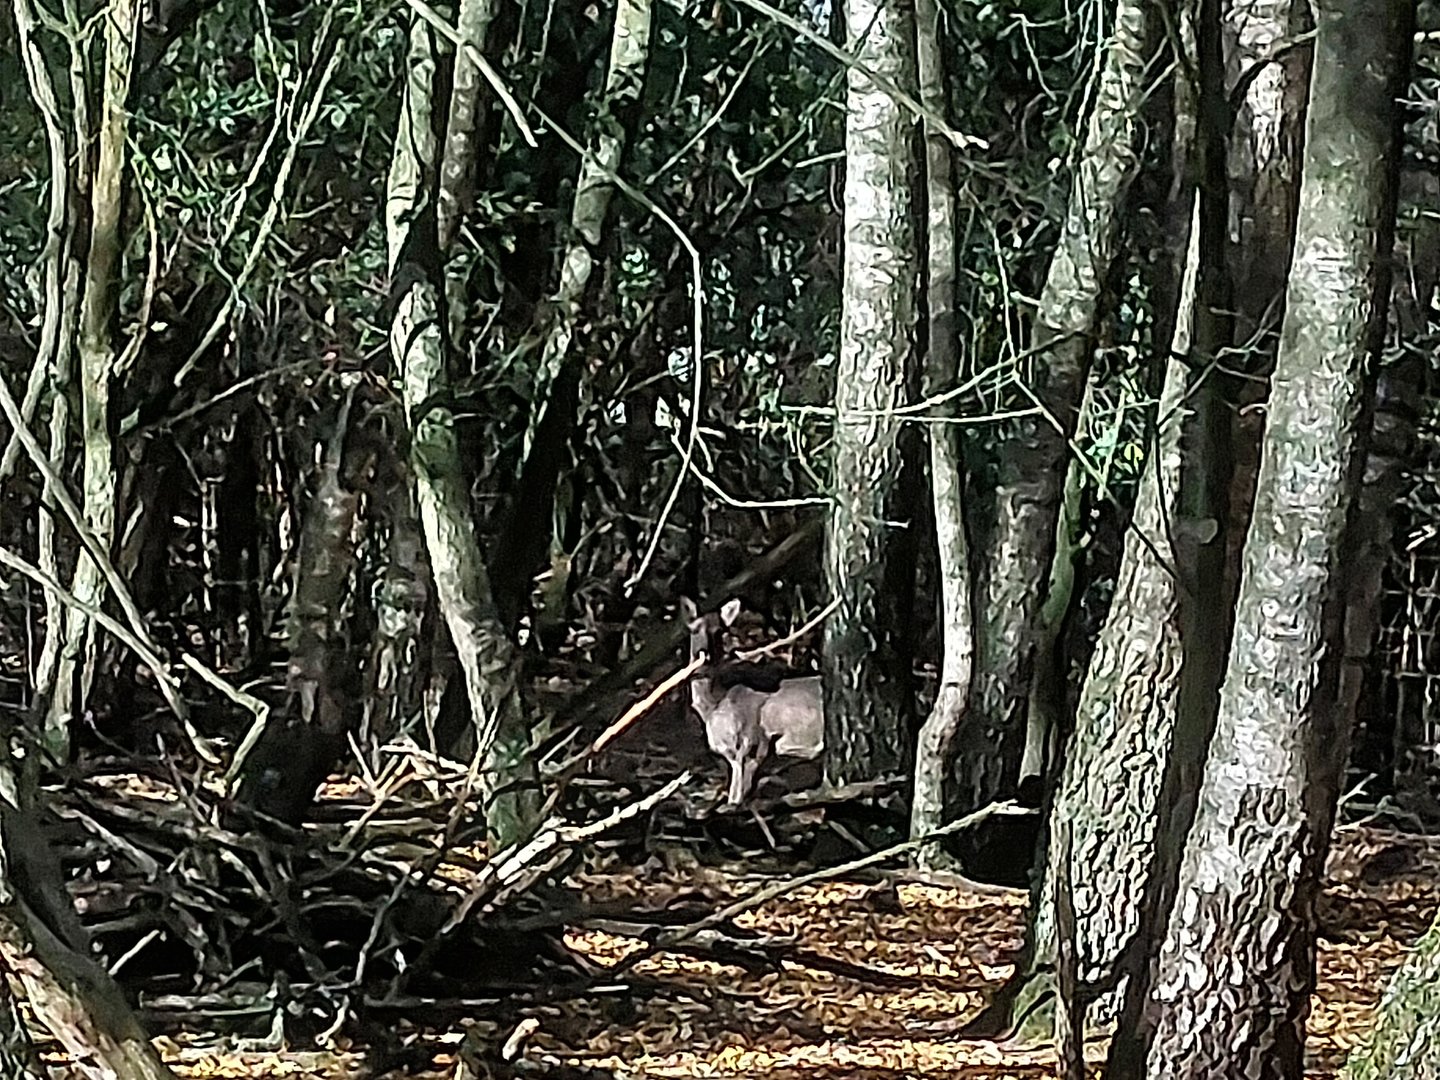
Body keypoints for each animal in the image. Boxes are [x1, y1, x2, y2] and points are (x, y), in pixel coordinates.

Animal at [681, 598, 824, 805]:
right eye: (693, 630)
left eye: (720, 631)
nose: (705, 654)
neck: (712, 705)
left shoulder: (741, 743)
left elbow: (737, 787)